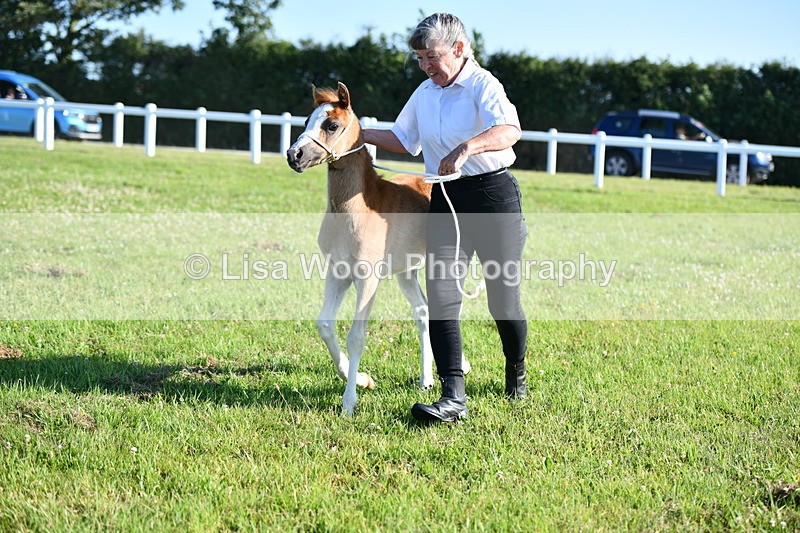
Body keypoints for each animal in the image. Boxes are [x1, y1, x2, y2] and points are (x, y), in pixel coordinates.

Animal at [286, 82, 468, 416]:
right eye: (306, 121)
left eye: (332, 125)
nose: (294, 155)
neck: (354, 210)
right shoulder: (338, 273)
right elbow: (324, 325)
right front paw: (361, 379)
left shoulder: (367, 279)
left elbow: (357, 336)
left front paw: (349, 402)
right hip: (406, 271)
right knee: (423, 311)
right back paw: (426, 379)